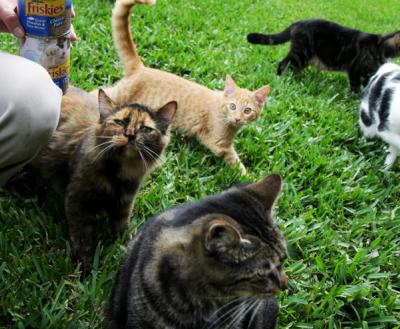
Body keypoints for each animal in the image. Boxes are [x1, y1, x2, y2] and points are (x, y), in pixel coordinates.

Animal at [31, 88, 175, 272]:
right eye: (120, 122)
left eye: (145, 129)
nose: (130, 135)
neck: (118, 176)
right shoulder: (78, 202)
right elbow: (83, 240)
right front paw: (87, 270)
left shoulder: (124, 204)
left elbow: (121, 229)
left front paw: (124, 248)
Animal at [98, 0, 270, 174]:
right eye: (233, 106)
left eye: (247, 110)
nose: (237, 118)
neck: (222, 110)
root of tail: (141, 68)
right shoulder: (219, 144)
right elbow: (237, 164)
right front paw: (249, 176)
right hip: (118, 95)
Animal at [247, 19, 400, 91]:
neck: (380, 46)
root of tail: (297, 23)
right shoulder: (355, 70)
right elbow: (356, 87)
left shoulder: (367, 73)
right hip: (301, 53)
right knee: (284, 64)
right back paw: (281, 78)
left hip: (305, 58)